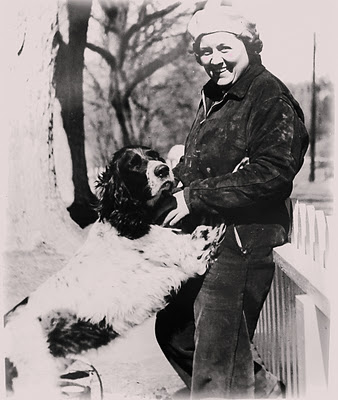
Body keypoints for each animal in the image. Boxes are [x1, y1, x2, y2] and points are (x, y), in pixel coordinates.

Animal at [4, 146, 224, 400]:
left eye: (154, 155)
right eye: (133, 164)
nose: (163, 169)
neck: (126, 221)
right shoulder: (189, 256)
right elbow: (206, 234)